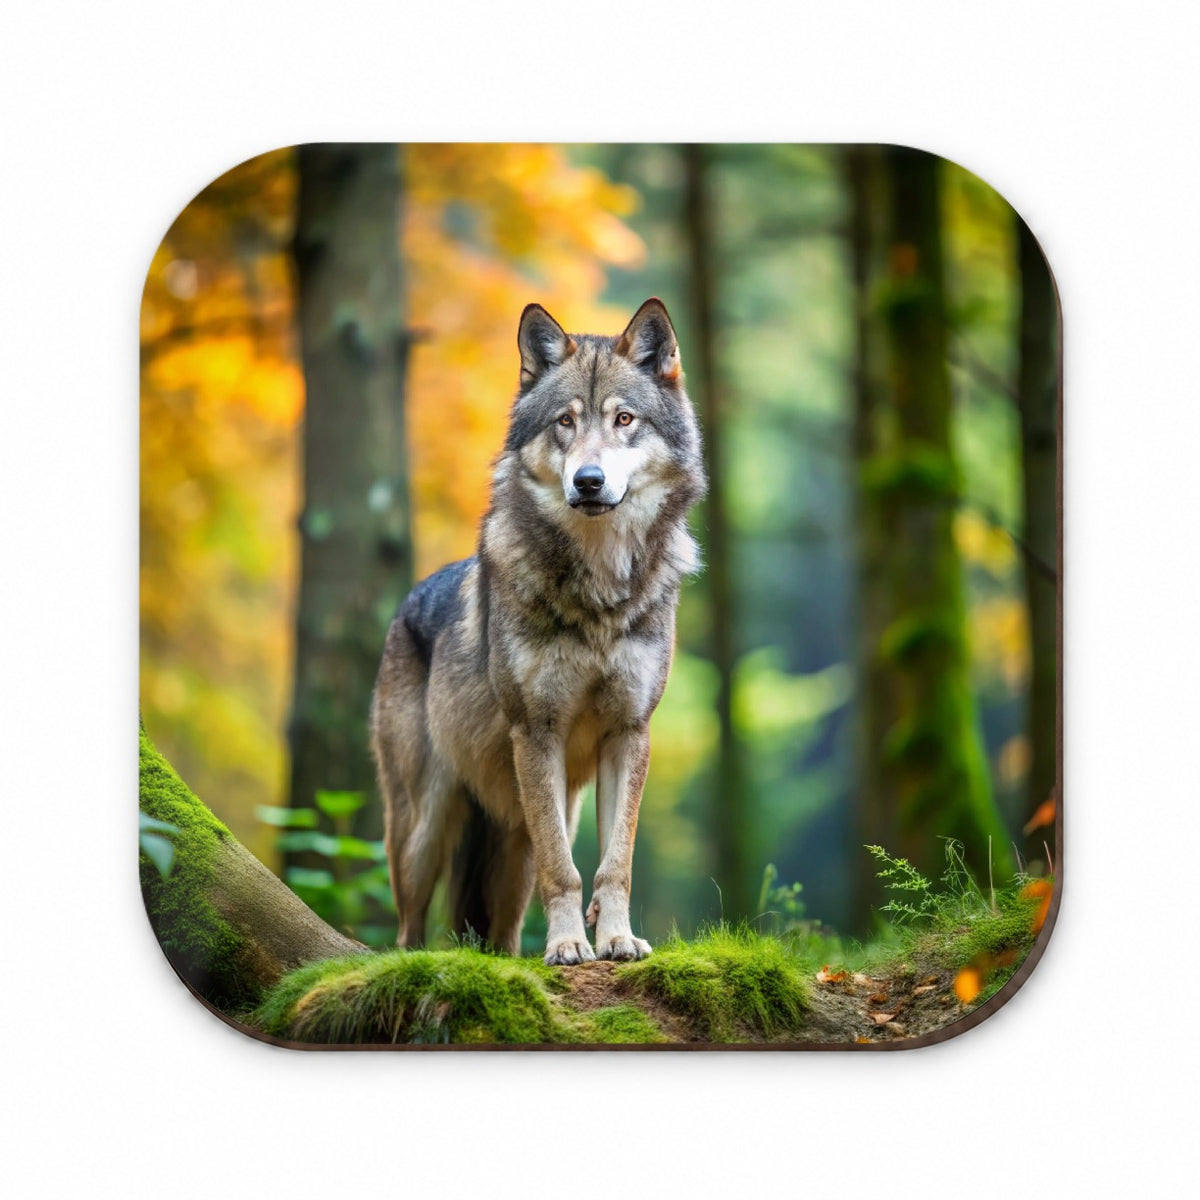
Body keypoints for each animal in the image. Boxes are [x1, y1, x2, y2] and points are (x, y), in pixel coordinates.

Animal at [370, 298, 706, 965]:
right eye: (565, 422)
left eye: (624, 419)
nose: (589, 481)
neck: (599, 591)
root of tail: (404, 607)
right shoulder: (536, 731)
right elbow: (565, 871)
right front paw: (571, 947)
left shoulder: (629, 731)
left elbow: (613, 864)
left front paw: (615, 938)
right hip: (425, 830)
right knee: (408, 924)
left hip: (519, 837)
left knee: (499, 935)